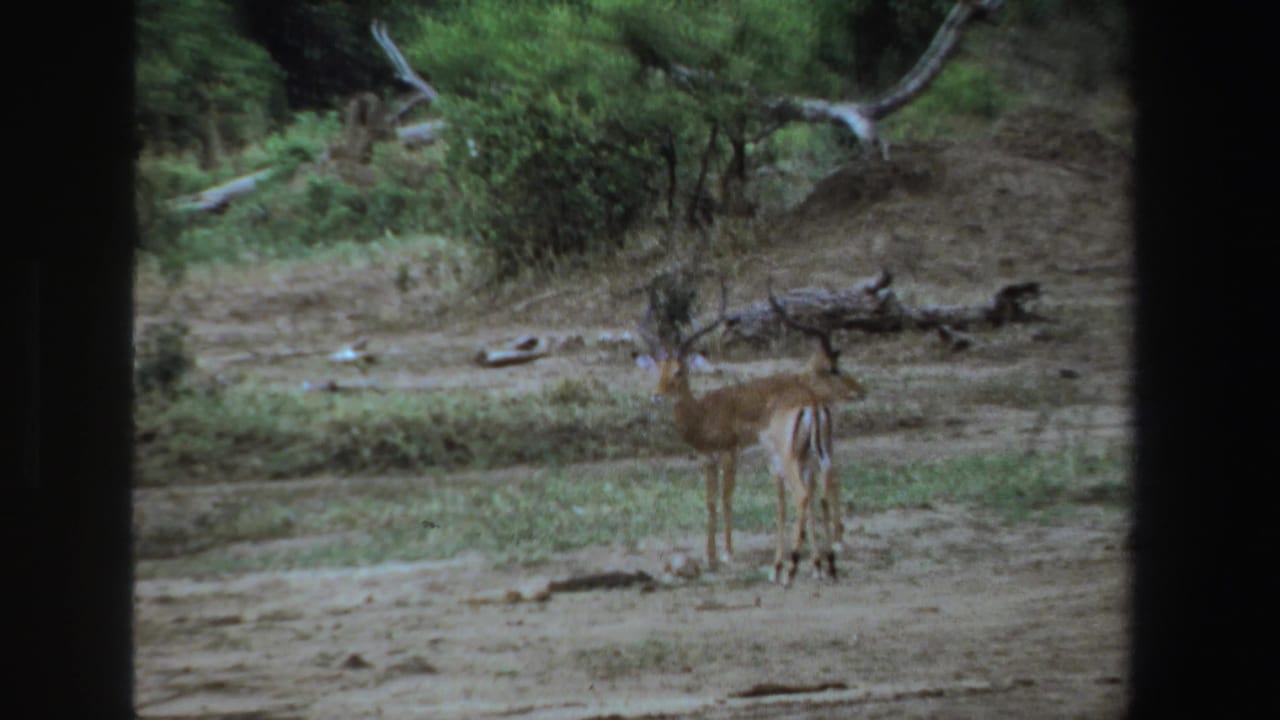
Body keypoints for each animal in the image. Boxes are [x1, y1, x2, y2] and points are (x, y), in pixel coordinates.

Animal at [640, 287, 840, 586]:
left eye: (678, 371)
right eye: (659, 369)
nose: (657, 396)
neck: (703, 412)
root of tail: (812, 402)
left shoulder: (729, 453)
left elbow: (726, 498)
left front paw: (727, 553)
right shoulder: (707, 458)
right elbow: (710, 502)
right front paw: (710, 556)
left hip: (793, 459)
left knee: (805, 495)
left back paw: (797, 566)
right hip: (818, 455)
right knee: (825, 490)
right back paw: (825, 561)